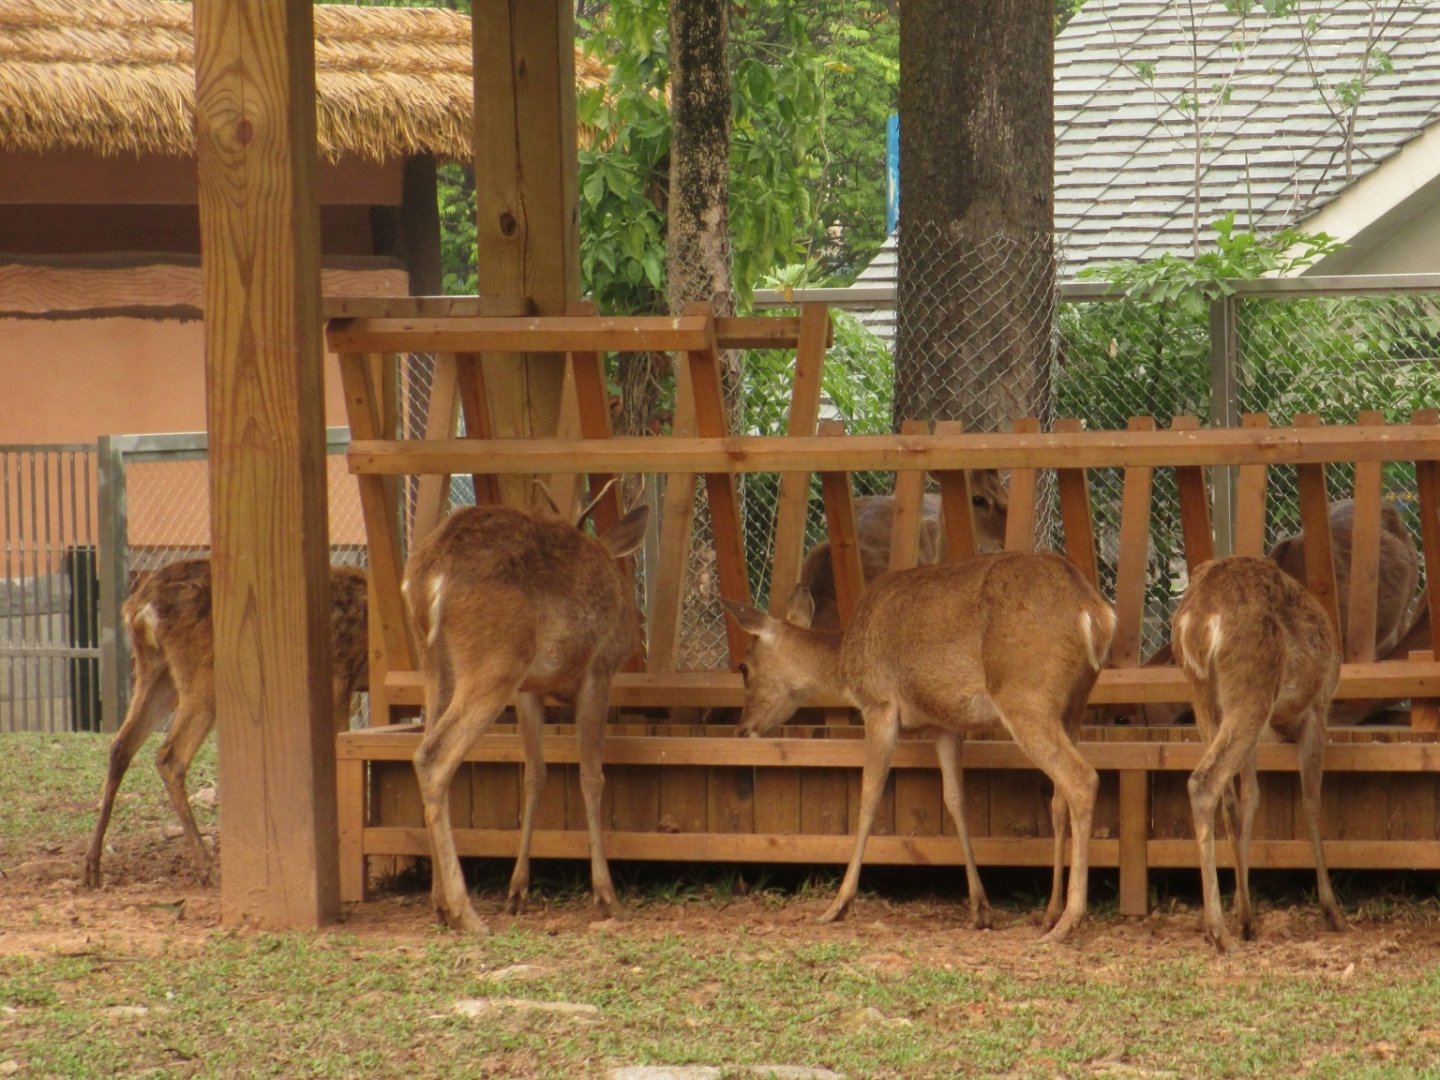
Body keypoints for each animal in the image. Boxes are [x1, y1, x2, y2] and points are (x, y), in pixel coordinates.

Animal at [83, 560, 370, 889]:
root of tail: (139, 607)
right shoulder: (340, 675)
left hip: (155, 669)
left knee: (120, 745)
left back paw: (92, 866)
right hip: (202, 673)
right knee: (170, 755)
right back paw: (208, 867)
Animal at [402, 489, 649, 934]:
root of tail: (429, 576)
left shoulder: (529, 691)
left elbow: (534, 774)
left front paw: (517, 891)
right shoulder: (598, 671)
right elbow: (592, 776)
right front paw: (607, 897)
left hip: (434, 665)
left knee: (427, 750)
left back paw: (441, 905)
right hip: (496, 658)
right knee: (432, 755)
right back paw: (468, 913)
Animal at [723, 550, 1116, 944]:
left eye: (744, 667)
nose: (742, 728)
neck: (845, 664)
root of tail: (1095, 614)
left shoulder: (879, 703)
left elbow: (869, 795)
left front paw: (837, 905)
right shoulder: (943, 725)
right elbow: (955, 801)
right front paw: (980, 909)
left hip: (1024, 693)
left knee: (1082, 779)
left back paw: (1068, 921)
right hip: (1074, 705)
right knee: (1058, 799)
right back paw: (1050, 913)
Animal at [1171, 555, 1347, 953]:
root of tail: (1199, 618)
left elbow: (1251, 797)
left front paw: (1245, 909)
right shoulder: (1318, 708)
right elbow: (1311, 801)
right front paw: (1332, 911)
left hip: (1205, 699)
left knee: (1227, 797)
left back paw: (1236, 922)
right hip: (1252, 687)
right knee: (1203, 782)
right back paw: (1219, 932)